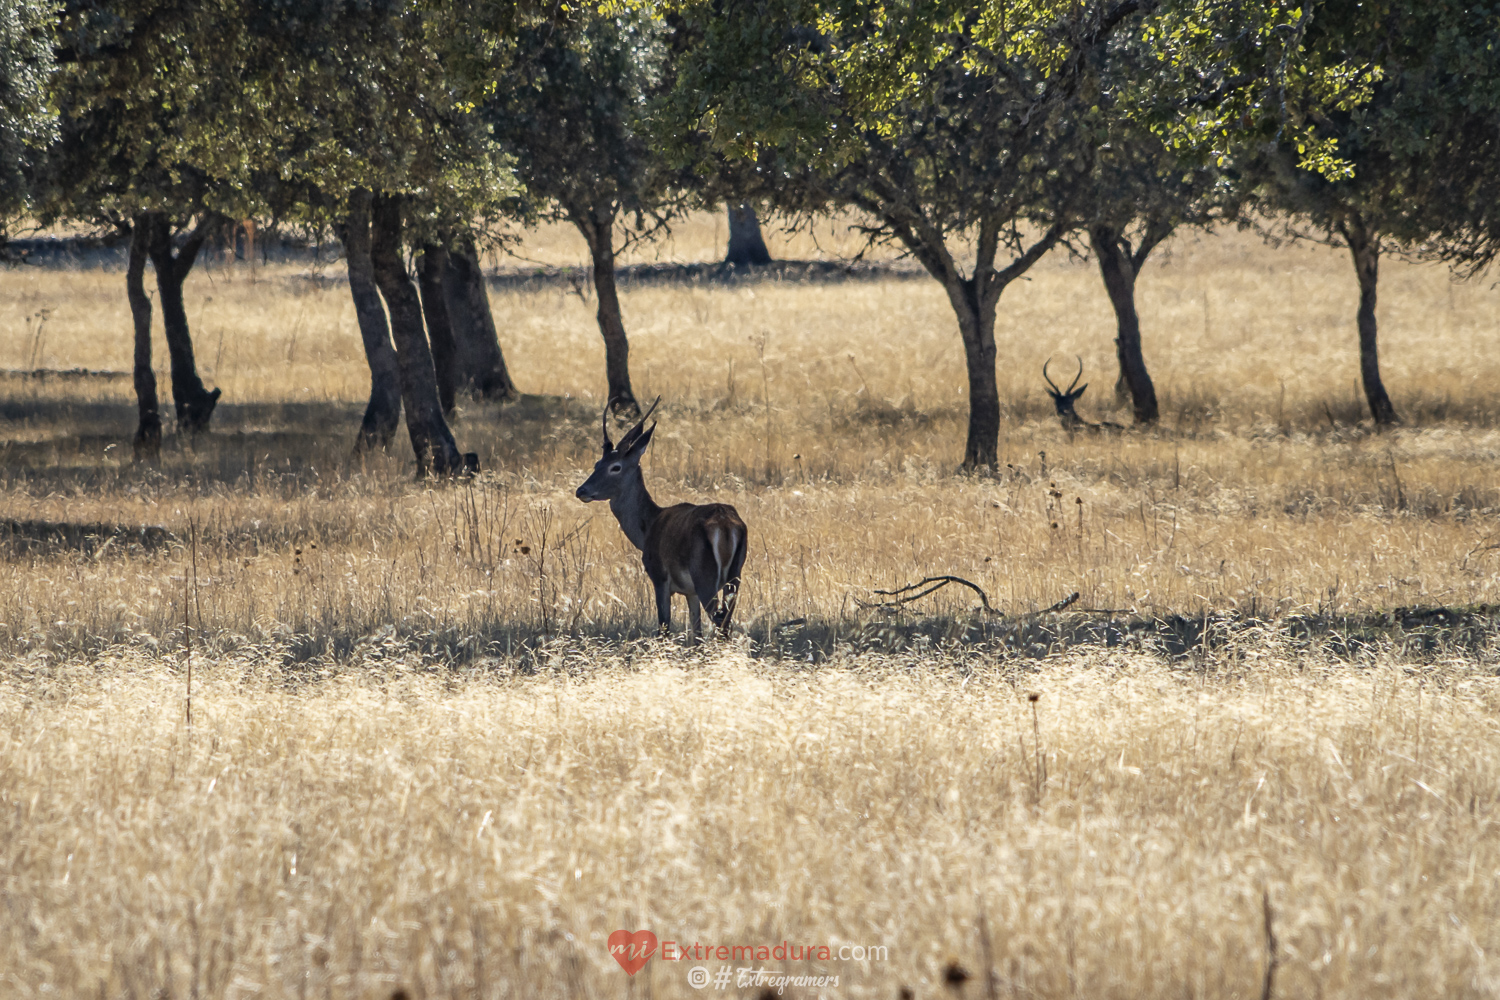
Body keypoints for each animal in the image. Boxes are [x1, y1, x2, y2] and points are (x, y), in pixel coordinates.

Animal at [570, 398, 747, 641]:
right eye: (597, 463)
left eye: (616, 467)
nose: (581, 490)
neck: (647, 530)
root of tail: (726, 526)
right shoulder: (690, 591)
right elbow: (696, 633)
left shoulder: (660, 577)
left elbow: (664, 626)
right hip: (735, 575)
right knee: (726, 621)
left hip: (705, 576)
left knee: (721, 622)